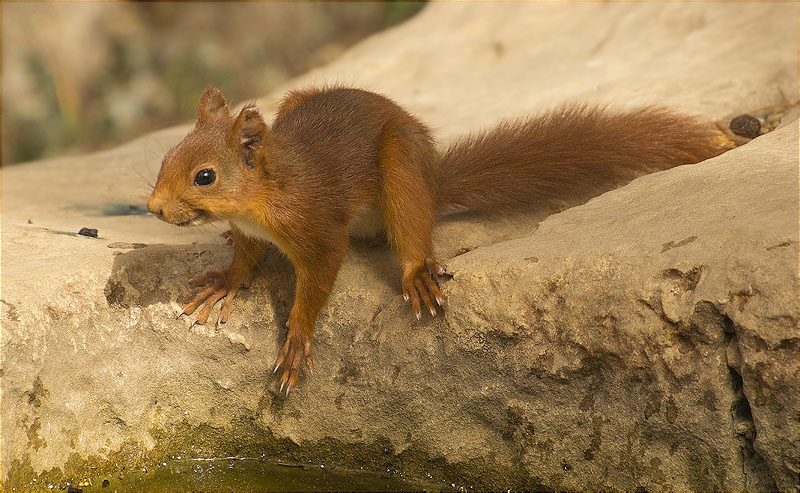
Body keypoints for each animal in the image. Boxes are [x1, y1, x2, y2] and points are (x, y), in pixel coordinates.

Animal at [147, 85, 736, 392]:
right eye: (166, 156)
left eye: (205, 176)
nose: (153, 207)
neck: (264, 199)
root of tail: (435, 179)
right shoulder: (251, 232)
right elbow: (245, 257)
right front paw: (224, 282)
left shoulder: (318, 230)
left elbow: (316, 282)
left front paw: (296, 341)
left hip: (401, 167)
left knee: (412, 228)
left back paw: (417, 273)